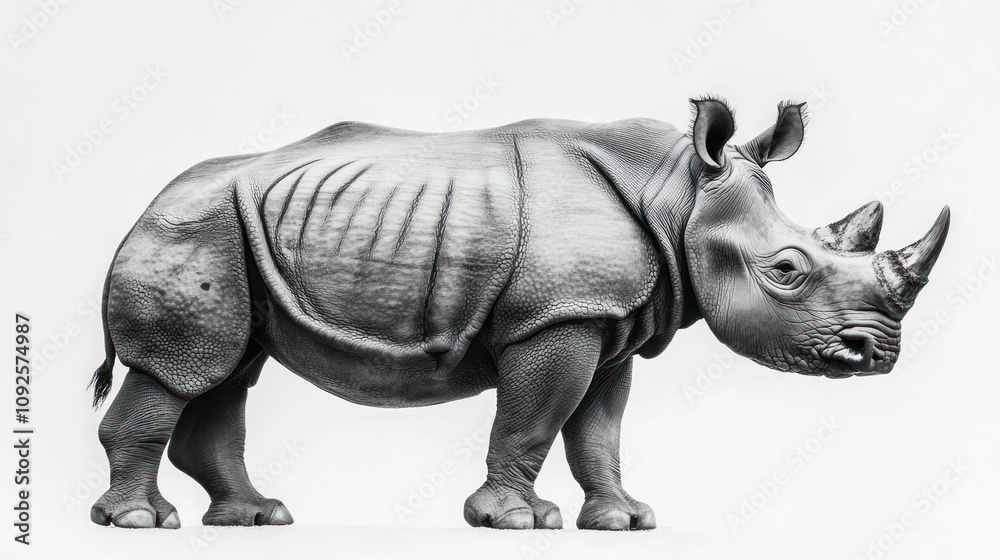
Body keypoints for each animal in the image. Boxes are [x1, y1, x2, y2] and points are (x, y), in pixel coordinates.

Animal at [88, 97, 949, 531]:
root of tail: (142, 206)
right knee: (186, 369)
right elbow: (534, 418)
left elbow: (597, 433)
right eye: (787, 272)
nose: (878, 356)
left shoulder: (607, 321)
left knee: (227, 372)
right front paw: (514, 522)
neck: (679, 194)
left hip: (230, 233)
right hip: (192, 227)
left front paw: (625, 521)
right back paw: (139, 524)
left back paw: (257, 518)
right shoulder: (559, 316)